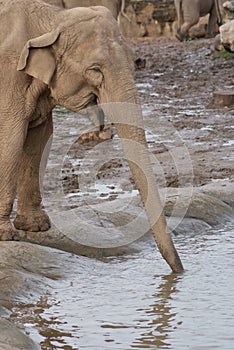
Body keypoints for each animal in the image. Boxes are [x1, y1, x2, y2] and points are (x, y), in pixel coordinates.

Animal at [0, 0, 183, 274]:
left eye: (134, 65)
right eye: (95, 70)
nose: (179, 271)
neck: (53, 19)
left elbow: (39, 139)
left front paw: (36, 227)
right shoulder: (7, 79)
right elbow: (10, 137)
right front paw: (6, 235)